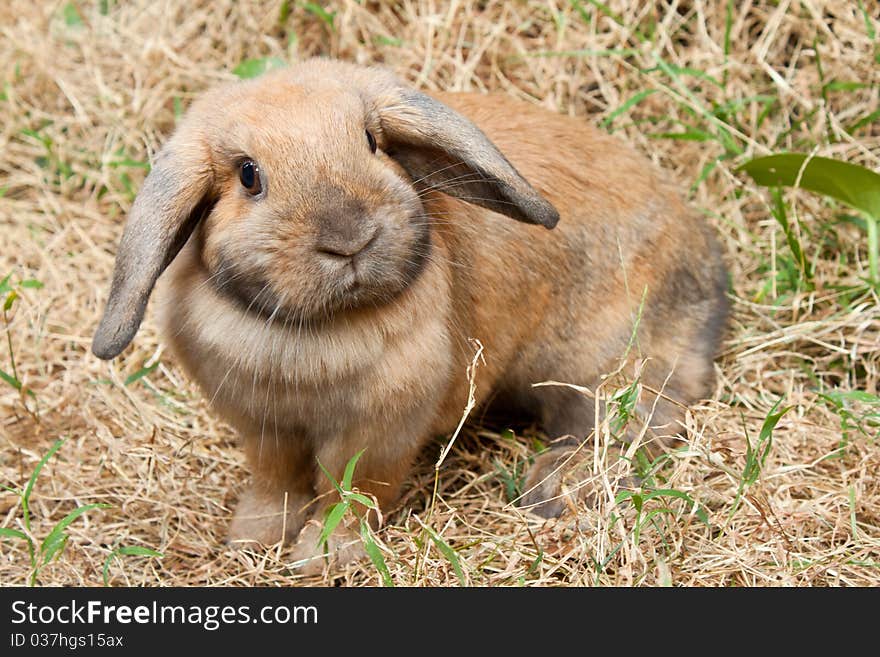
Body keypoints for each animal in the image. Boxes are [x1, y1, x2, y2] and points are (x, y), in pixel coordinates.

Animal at [94, 59, 728, 572]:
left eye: (372, 141)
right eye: (249, 175)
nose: (349, 237)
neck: (319, 327)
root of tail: (708, 262)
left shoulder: (378, 433)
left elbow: (351, 493)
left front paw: (324, 557)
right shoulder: (263, 426)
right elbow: (276, 482)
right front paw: (252, 539)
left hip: (602, 361)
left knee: (630, 421)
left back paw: (553, 489)